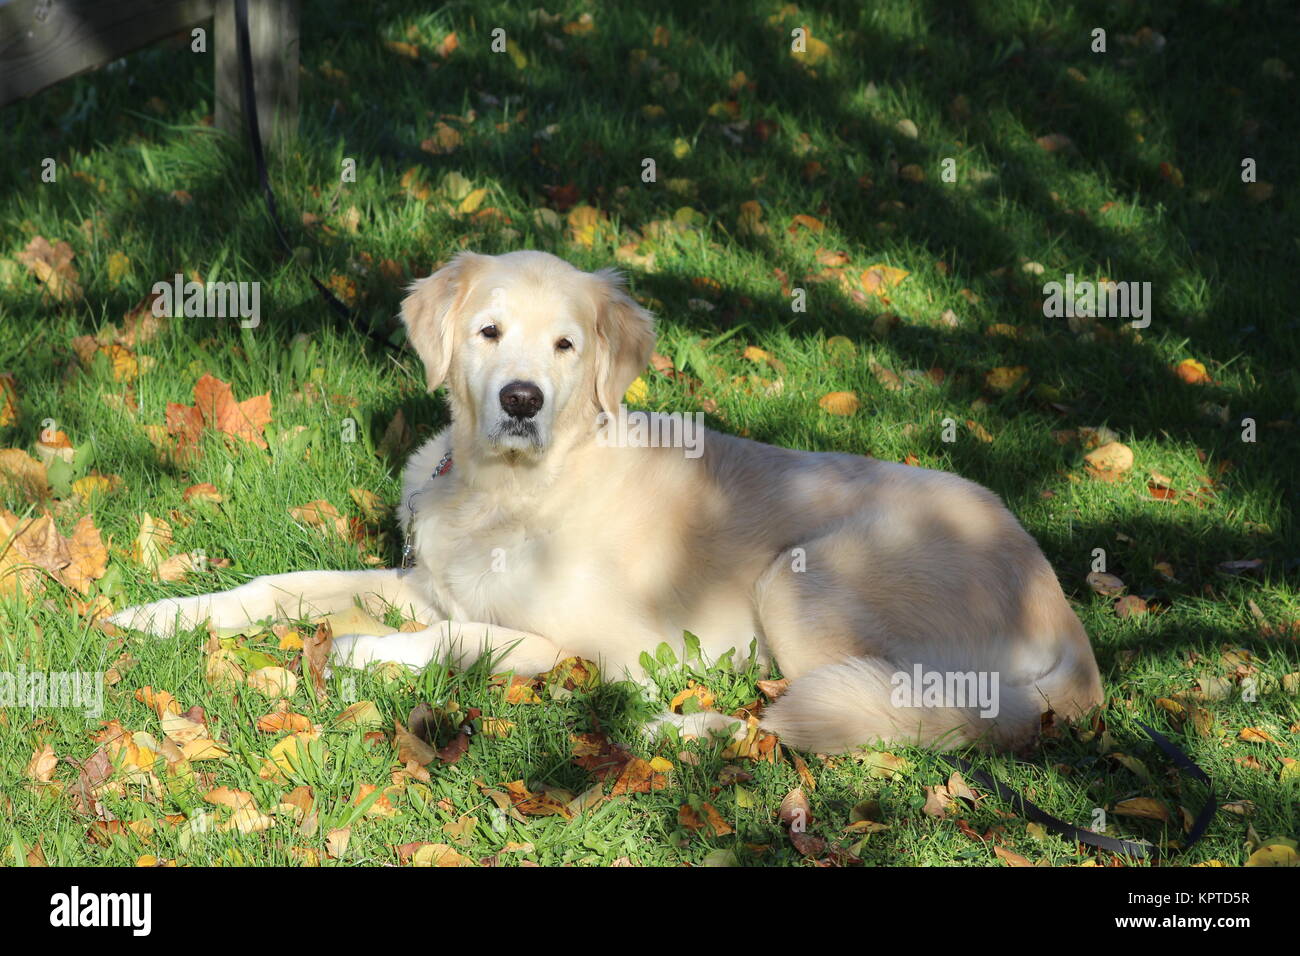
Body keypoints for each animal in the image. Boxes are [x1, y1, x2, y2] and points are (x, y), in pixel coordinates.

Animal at [114, 251, 1107, 749]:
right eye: (489, 333)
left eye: (565, 346)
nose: (521, 401)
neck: (515, 488)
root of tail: (1067, 620)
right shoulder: (425, 581)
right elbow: (281, 586)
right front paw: (158, 615)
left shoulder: (582, 646)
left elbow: (456, 639)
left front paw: (362, 653)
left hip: (805, 576)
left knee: (818, 722)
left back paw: (680, 730)